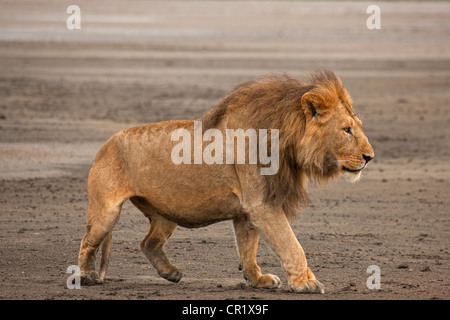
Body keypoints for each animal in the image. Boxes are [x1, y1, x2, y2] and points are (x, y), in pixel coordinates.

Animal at [77, 69, 372, 294]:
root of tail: (106, 143)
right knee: (87, 240)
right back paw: (85, 275)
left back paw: (170, 273)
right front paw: (306, 283)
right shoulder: (262, 204)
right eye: (347, 129)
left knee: (148, 242)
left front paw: (257, 279)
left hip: (166, 215)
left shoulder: (247, 211)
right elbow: (291, 245)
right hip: (107, 212)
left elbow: (248, 248)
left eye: (356, 126)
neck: (284, 139)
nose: (370, 157)